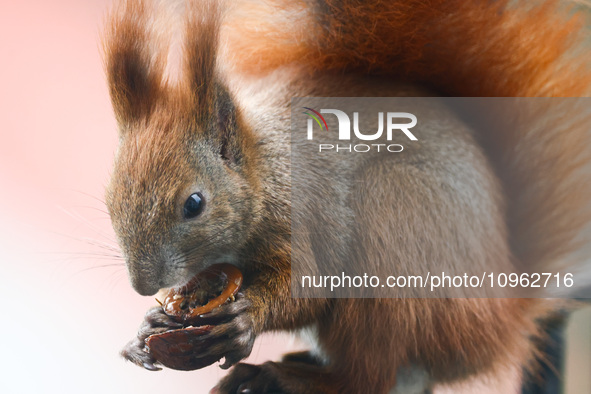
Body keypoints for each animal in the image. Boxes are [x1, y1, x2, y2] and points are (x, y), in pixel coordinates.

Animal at [103, 0, 591, 392]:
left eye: (194, 204)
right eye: (109, 200)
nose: (142, 285)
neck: (266, 170)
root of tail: (501, 321)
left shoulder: (301, 215)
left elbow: (311, 292)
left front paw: (246, 320)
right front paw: (147, 326)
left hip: (394, 231)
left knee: (368, 376)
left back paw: (287, 375)